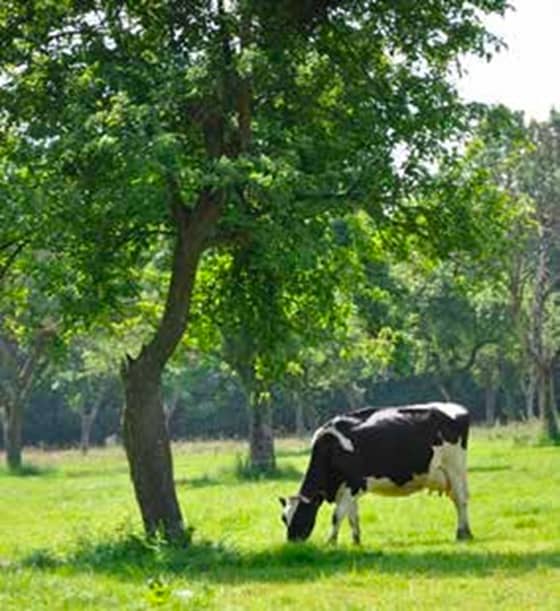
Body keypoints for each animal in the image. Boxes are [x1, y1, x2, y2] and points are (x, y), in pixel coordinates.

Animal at [280, 402, 472, 544]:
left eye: (302, 515)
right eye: (284, 518)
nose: (292, 542)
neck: (331, 448)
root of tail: (456, 408)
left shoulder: (354, 483)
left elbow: (337, 515)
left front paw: (330, 542)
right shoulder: (346, 488)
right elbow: (352, 516)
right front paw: (356, 541)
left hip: (455, 468)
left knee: (461, 500)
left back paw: (462, 534)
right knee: (458, 499)